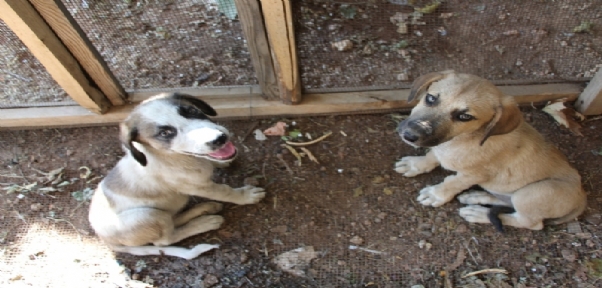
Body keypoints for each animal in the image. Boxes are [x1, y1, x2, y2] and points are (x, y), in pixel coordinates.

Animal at [89, 94, 264, 258]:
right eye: (165, 133)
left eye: (192, 111)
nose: (219, 139)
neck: (172, 156)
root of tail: (104, 239)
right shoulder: (200, 187)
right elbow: (226, 191)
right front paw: (246, 196)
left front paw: (220, 163)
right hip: (148, 215)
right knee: (165, 240)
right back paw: (204, 223)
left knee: (174, 219)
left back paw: (205, 209)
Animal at [396, 71, 584, 232]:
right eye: (430, 98)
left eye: (465, 116)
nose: (409, 135)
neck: (463, 139)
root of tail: (582, 198)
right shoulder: (441, 147)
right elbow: (432, 155)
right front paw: (415, 164)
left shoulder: (474, 174)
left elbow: (452, 183)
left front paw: (435, 194)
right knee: (507, 202)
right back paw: (476, 197)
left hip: (533, 193)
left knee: (529, 222)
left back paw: (479, 213)